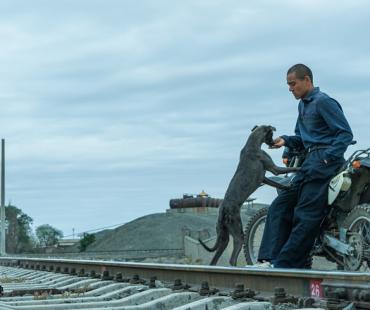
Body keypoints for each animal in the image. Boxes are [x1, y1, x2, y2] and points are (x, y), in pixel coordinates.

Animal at [198, 124, 300, 266]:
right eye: (271, 134)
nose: (273, 142)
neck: (252, 144)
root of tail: (223, 210)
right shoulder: (274, 168)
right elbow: (289, 169)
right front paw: (300, 169)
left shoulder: (264, 178)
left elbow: (277, 184)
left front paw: (287, 187)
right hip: (238, 233)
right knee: (232, 258)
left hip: (223, 237)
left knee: (214, 260)